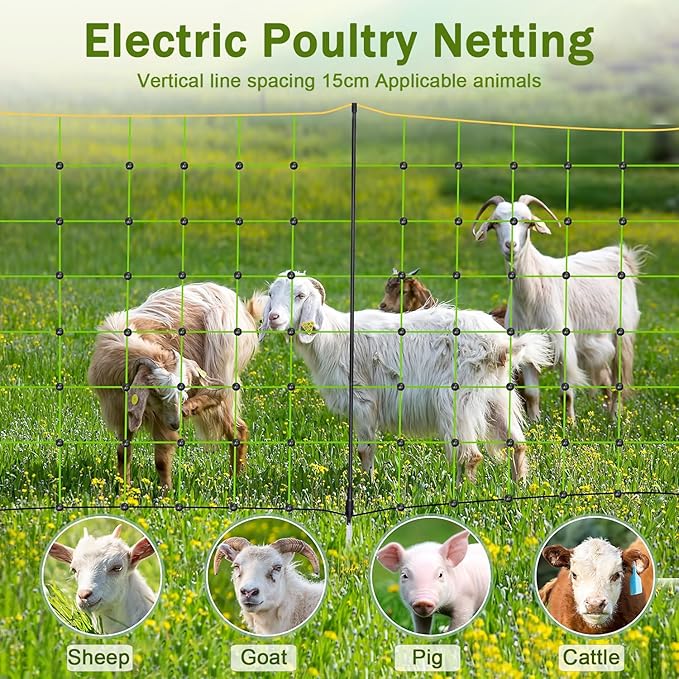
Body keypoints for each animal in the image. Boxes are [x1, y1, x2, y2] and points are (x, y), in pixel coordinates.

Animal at [88, 283, 260, 489]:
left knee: (218, 394)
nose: (176, 423)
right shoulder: (122, 411)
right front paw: (124, 489)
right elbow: (123, 452)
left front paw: (166, 493)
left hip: (221, 356)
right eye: (156, 392)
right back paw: (235, 477)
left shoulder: (161, 421)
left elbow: (161, 460)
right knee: (238, 428)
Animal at [259, 271, 553, 482]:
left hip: (456, 399)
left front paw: (366, 486)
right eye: (271, 294)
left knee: (471, 455)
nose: (273, 317)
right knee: (517, 445)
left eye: (300, 295)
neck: (333, 337)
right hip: (496, 397)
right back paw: (519, 486)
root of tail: (500, 346)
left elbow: (364, 449)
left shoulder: (362, 401)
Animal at [473, 194, 644, 420]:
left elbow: (567, 393)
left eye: (528, 222)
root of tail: (618, 254)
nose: (511, 245)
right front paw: (535, 424)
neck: (533, 294)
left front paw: (570, 424)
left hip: (622, 335)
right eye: (494, 224)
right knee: (606, 376)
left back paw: (615, 416)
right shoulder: (527, 348)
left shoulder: (564, 346)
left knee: (619, 377)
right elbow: (532, 394)